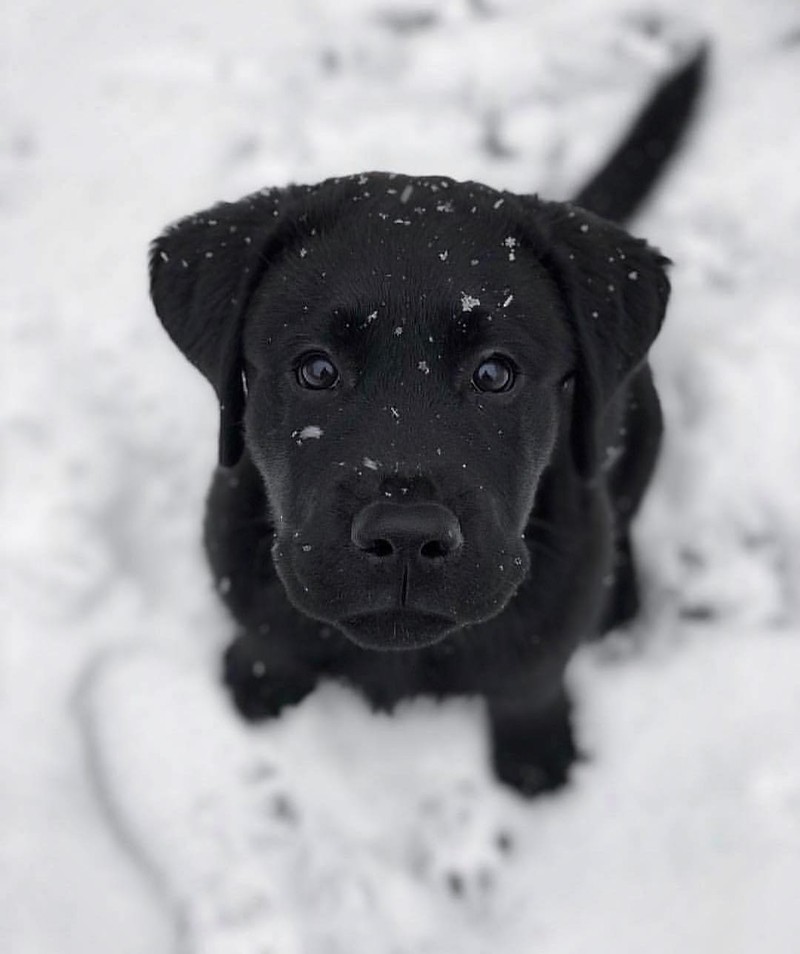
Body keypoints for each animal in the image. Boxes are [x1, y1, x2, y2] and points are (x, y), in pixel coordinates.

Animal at [150, 52, 708, 796]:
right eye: (316, 370)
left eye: (495, 374)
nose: (407, 535)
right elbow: (272, 639)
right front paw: (259, 683)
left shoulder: (552, 611)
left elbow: (530, 680)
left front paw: (535, 757)